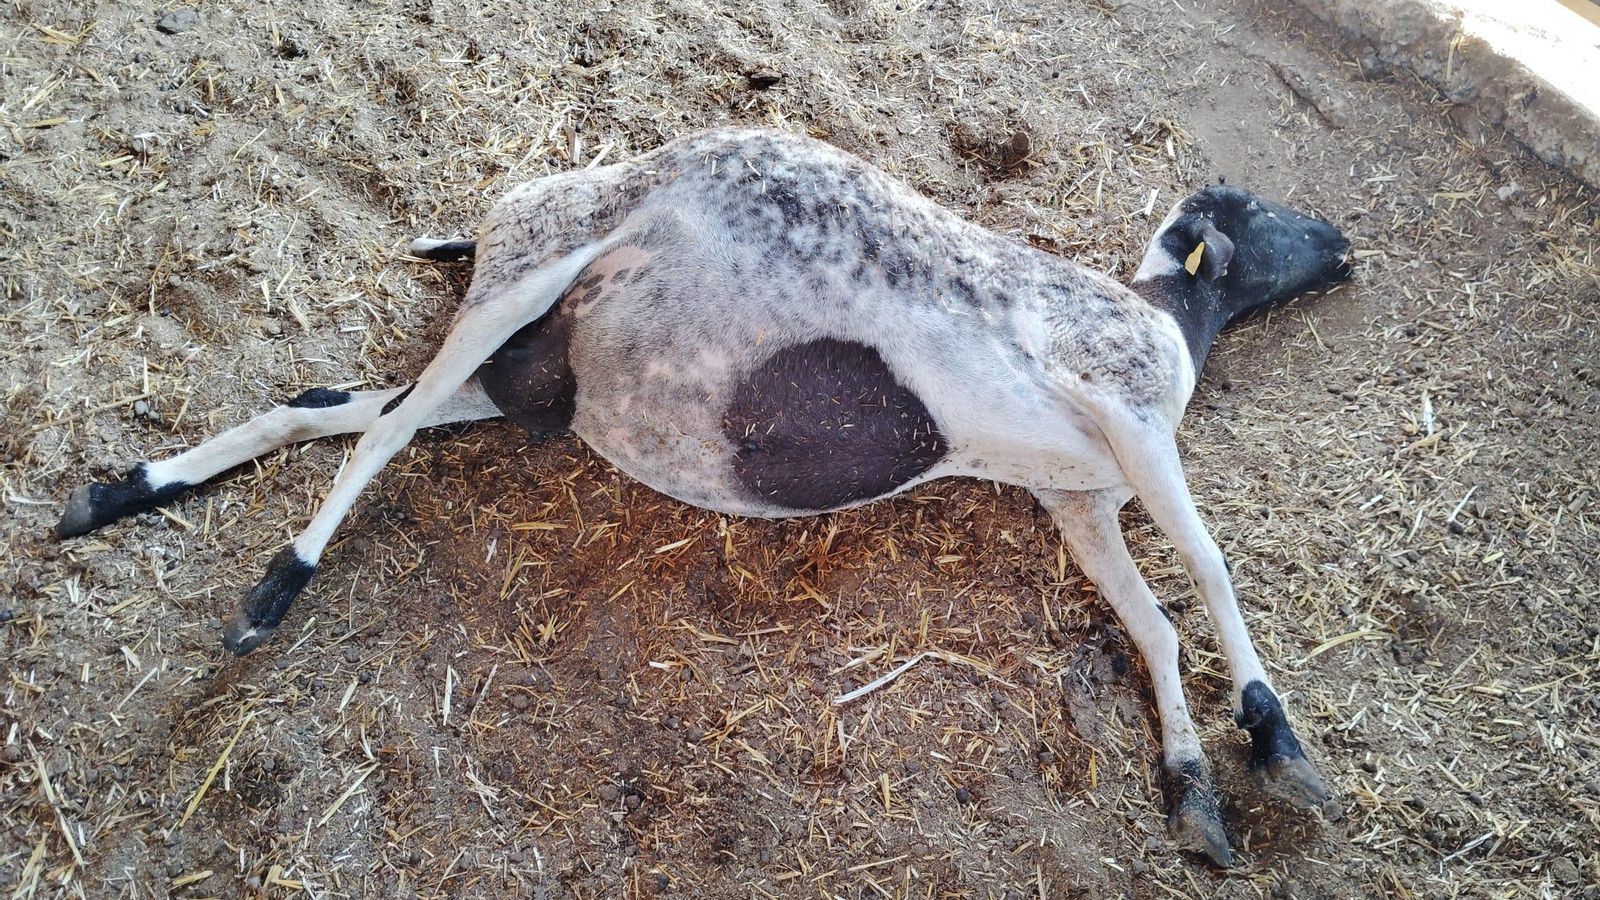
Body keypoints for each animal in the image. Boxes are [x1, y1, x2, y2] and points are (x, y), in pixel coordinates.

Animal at [55, 127, 1351, 865]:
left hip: (520, 373)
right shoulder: (1129, 413)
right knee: (371, 437)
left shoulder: (1081, 503)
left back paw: (120, 492)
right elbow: (1212, 574)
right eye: (1254, 214)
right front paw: (1276, 739)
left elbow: (1155, 626)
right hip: (537, 265)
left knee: (337, 406)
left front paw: (1193, 790)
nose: (1344, 243)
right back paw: (273, 590)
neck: (1168, 321)